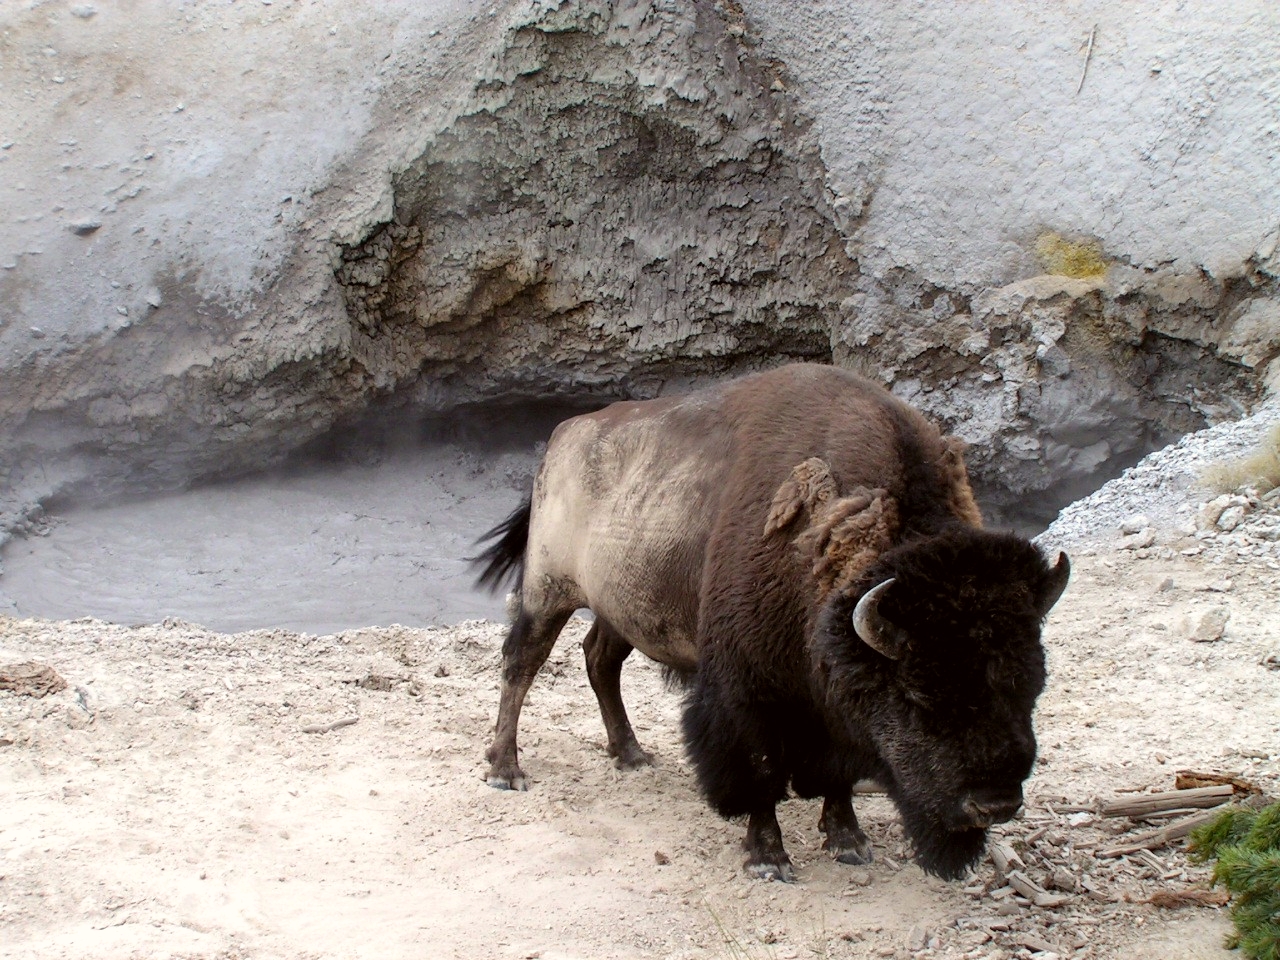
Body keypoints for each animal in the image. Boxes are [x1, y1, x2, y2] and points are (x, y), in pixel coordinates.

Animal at [476, 363, 1064, 885]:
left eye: (1034, 685)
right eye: (919, 695)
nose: (995, 803)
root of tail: (560, 437)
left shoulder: (830, 702)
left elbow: (838, 771)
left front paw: (849, 841)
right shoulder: (747, 691)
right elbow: (758, 770)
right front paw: (768, 859)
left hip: (617, 606)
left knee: (600, 660)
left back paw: (632, 755)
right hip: (547, 592)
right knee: (521, 663)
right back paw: (506, 770)